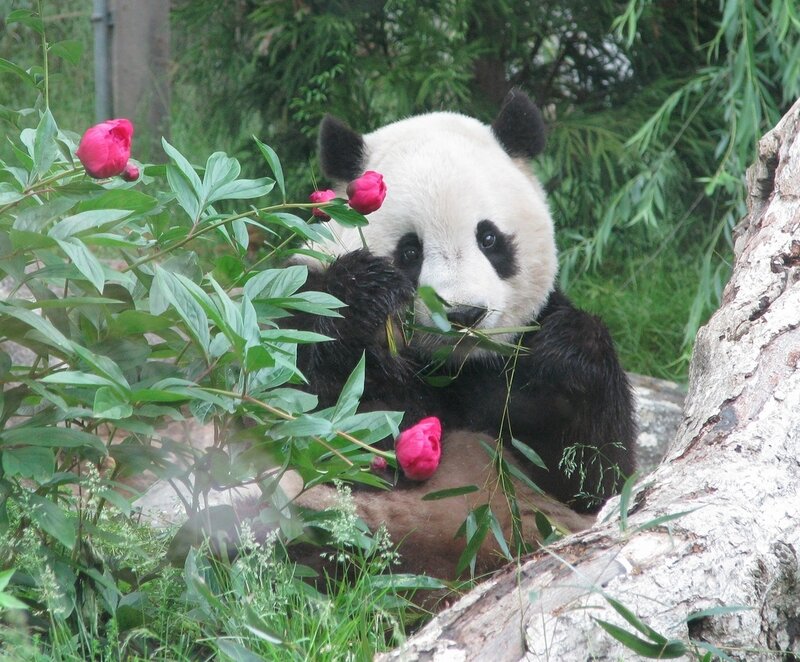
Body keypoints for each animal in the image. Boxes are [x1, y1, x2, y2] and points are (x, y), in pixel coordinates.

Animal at [288, 90, 636, 580]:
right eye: (410, 251)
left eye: (489, 239)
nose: (463, 313)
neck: (454, 366)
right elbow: (312, 410)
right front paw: (366, 295)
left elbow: (593, 476)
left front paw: (565, 351)